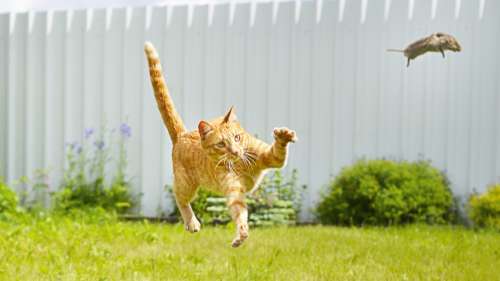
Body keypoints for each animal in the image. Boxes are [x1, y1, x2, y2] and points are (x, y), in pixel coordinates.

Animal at [144, 41, 296, 247]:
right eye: (221, 144)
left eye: (237, 138)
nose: (235, 151)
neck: (241, 163)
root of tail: (182, 134)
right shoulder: (234, 191)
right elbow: (239, 212)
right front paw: (241, 234)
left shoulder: (270, 157)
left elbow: (278, 151)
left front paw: (283, 136)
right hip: (186, 184)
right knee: (180, 198)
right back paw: (192, 223)